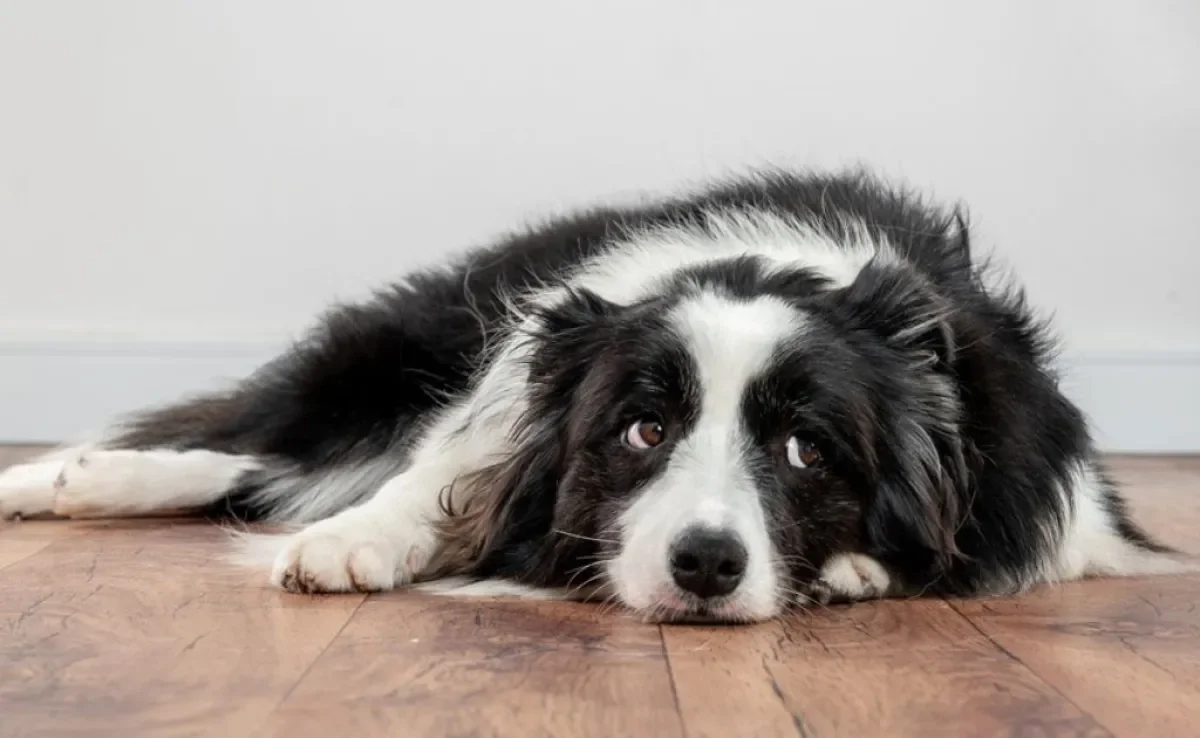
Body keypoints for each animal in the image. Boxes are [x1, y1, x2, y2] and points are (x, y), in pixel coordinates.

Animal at [0, 169, 1190, 624]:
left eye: (808, 451)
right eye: (643, 429)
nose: (706, 566)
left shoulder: (1061, 513)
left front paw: (852, 568)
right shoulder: (505, 386)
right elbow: (435, 479)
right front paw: (352, 544)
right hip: (395, 350)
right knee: (250, 444)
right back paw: (56, 479)